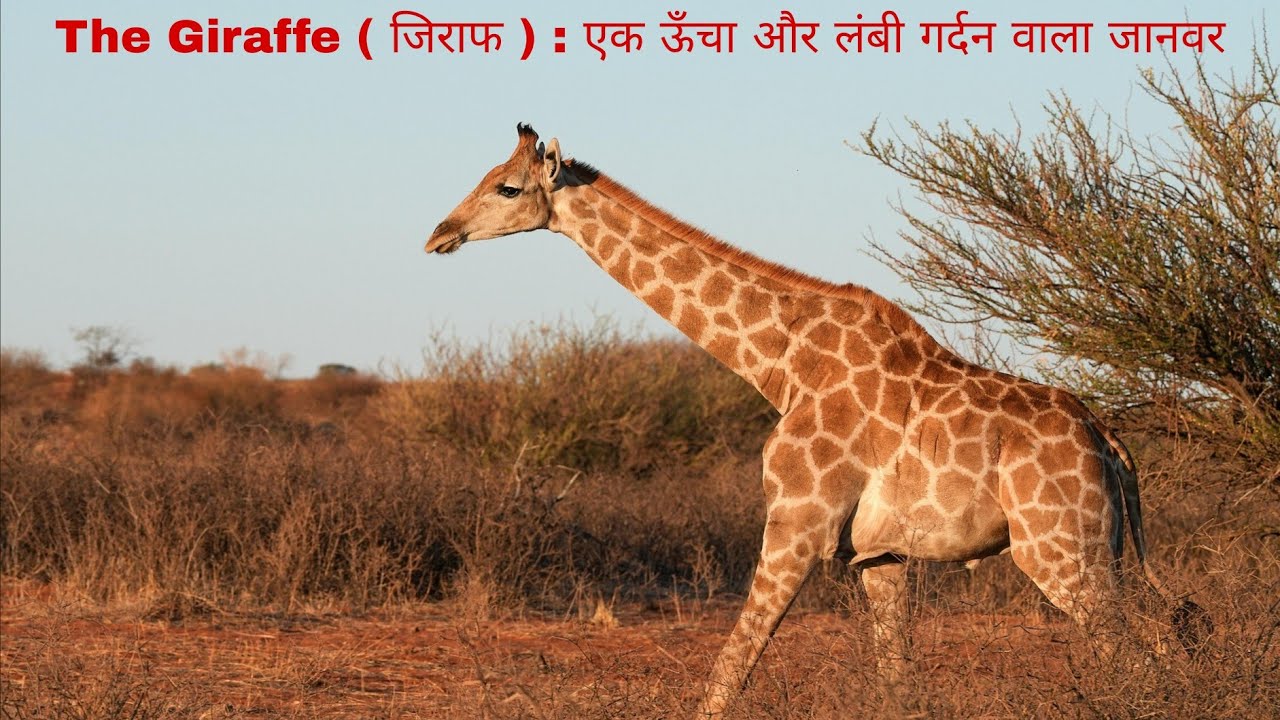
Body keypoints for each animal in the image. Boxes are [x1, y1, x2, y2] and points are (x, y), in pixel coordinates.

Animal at [425, 125, 1201, 716]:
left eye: (507, 188)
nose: (439, 234)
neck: (781, 363)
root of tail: (1108, 441)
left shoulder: (797, 522)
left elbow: (729, 671)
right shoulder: (882, 556)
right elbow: (896, 686)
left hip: (1059, 548)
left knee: (1148, 652)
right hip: (1095, 548)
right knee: (1168, 636)